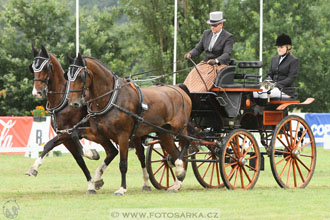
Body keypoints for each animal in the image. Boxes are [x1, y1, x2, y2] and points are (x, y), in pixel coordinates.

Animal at [26, 45, 126, 193]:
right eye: (32, 68)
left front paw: (91, 155)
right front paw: (34, 168)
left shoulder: (68, 133)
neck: (63, 99)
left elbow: (76, 151)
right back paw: (98, 179)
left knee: (112, 150)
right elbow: (76, 159)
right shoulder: (64, 136)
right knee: (112, 151)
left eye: (46, 68)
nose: (36, 92)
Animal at [66, 54, 191, 195]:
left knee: (187, 143)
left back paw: (179, 171)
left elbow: (123, 164)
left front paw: (122, 188)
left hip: (179, 128)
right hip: (164, 133)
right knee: (174, 154)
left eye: (81, 76)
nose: (73, 103)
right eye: (68, 76)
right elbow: (75, 133)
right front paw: (91, 154)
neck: (111, 98)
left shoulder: (123, 136)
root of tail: (179, 90)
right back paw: (176, 184)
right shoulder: (97, 132)